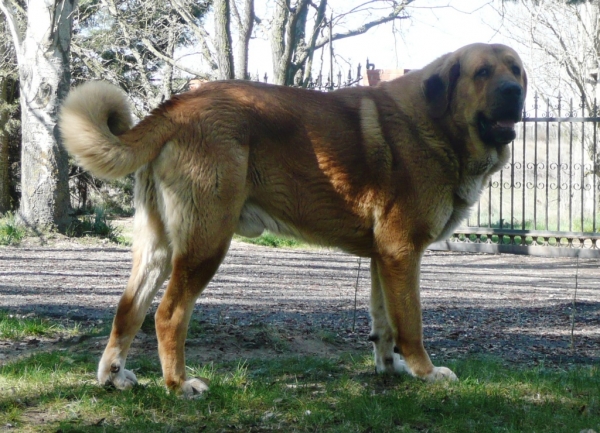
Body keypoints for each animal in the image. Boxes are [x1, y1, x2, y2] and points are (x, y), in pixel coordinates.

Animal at [59, 43, 524, 394]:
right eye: (482, 72)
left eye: (516, 69)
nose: (514, 90)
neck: (437, 124)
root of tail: (178, 104)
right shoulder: (403, 252)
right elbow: (411, 324)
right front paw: (425, 373)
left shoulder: (384, 258)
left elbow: (384, 323)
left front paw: (388, 370)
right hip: (206, 245)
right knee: (167, 315)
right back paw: (179, 385)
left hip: (157, 248)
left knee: (128, 310)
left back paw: (114, 377)